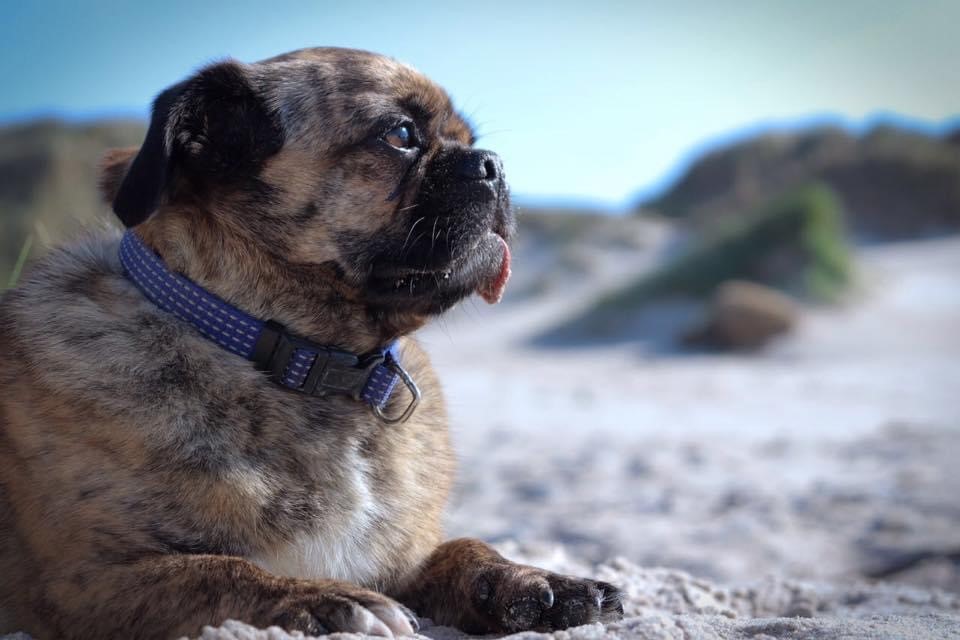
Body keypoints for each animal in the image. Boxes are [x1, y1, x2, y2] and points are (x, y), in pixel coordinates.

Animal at [0, 47, 624, 636]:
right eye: (401, 135)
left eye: (470, 141)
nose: (492, 164)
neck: (320, 367)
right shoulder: (86, 584)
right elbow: (218, 570)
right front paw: (323, 598)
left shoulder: (402, 563)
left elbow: (462, 549)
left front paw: (532, 579)